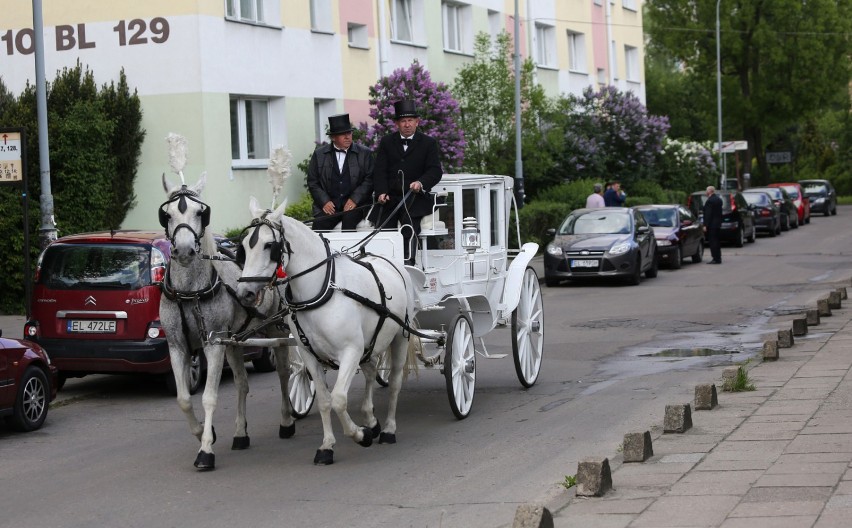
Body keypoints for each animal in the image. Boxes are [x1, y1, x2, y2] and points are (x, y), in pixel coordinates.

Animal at [158, 173, 294, 470]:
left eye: (201, 212)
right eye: (167, 214)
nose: (184, 250)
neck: (189, 290)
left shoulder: (214, 344)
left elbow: (209, 397)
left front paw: (206, 450)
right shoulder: (178, 346)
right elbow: (183, 399)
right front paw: (203, 431)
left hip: (276, 330)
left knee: (284, 373)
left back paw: (287, 420)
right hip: (235, 341)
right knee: (242, 383)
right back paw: (240, 434)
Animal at [236, 197, 416, 462]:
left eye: (270, 245)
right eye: (244, 247)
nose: (245, 293)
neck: (322, 289)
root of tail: (388, 261)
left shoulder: (351, 351)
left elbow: (339, 399)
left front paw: (360, 435)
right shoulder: (309, 354)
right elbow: (324, 400)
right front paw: (327, 446)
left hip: (400, 338)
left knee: (394, 382)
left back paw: (388, 430)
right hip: (369, 344)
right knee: (371, 371)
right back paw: (371, 419)